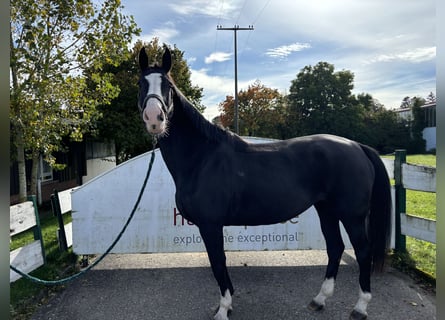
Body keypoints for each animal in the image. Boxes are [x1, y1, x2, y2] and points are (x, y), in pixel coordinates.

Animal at [137, 47, 390, 320]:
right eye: (141, 84)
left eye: (168, 86)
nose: (155, 118)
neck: (202, 158)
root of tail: (357, 146)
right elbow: (220, 263)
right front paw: (227, 303)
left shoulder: (210, 225)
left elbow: (218, 262)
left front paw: (223, 308)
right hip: (327, 210)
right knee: (335, 247)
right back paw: (319, 300)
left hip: (352, 215)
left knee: (362, 252)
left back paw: (360, 307)